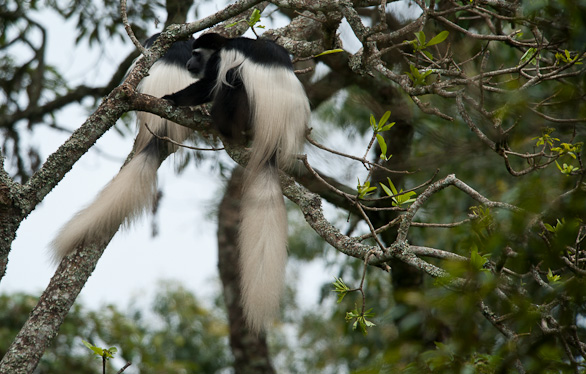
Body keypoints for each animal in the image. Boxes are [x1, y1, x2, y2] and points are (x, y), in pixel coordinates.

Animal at [162, 32, 310, 330]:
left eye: (196, 53)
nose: (189, 64)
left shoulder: (221, 60)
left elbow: (208, 86)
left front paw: (172, 98)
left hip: (246, 108)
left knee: (233, 81)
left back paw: (222, 126)